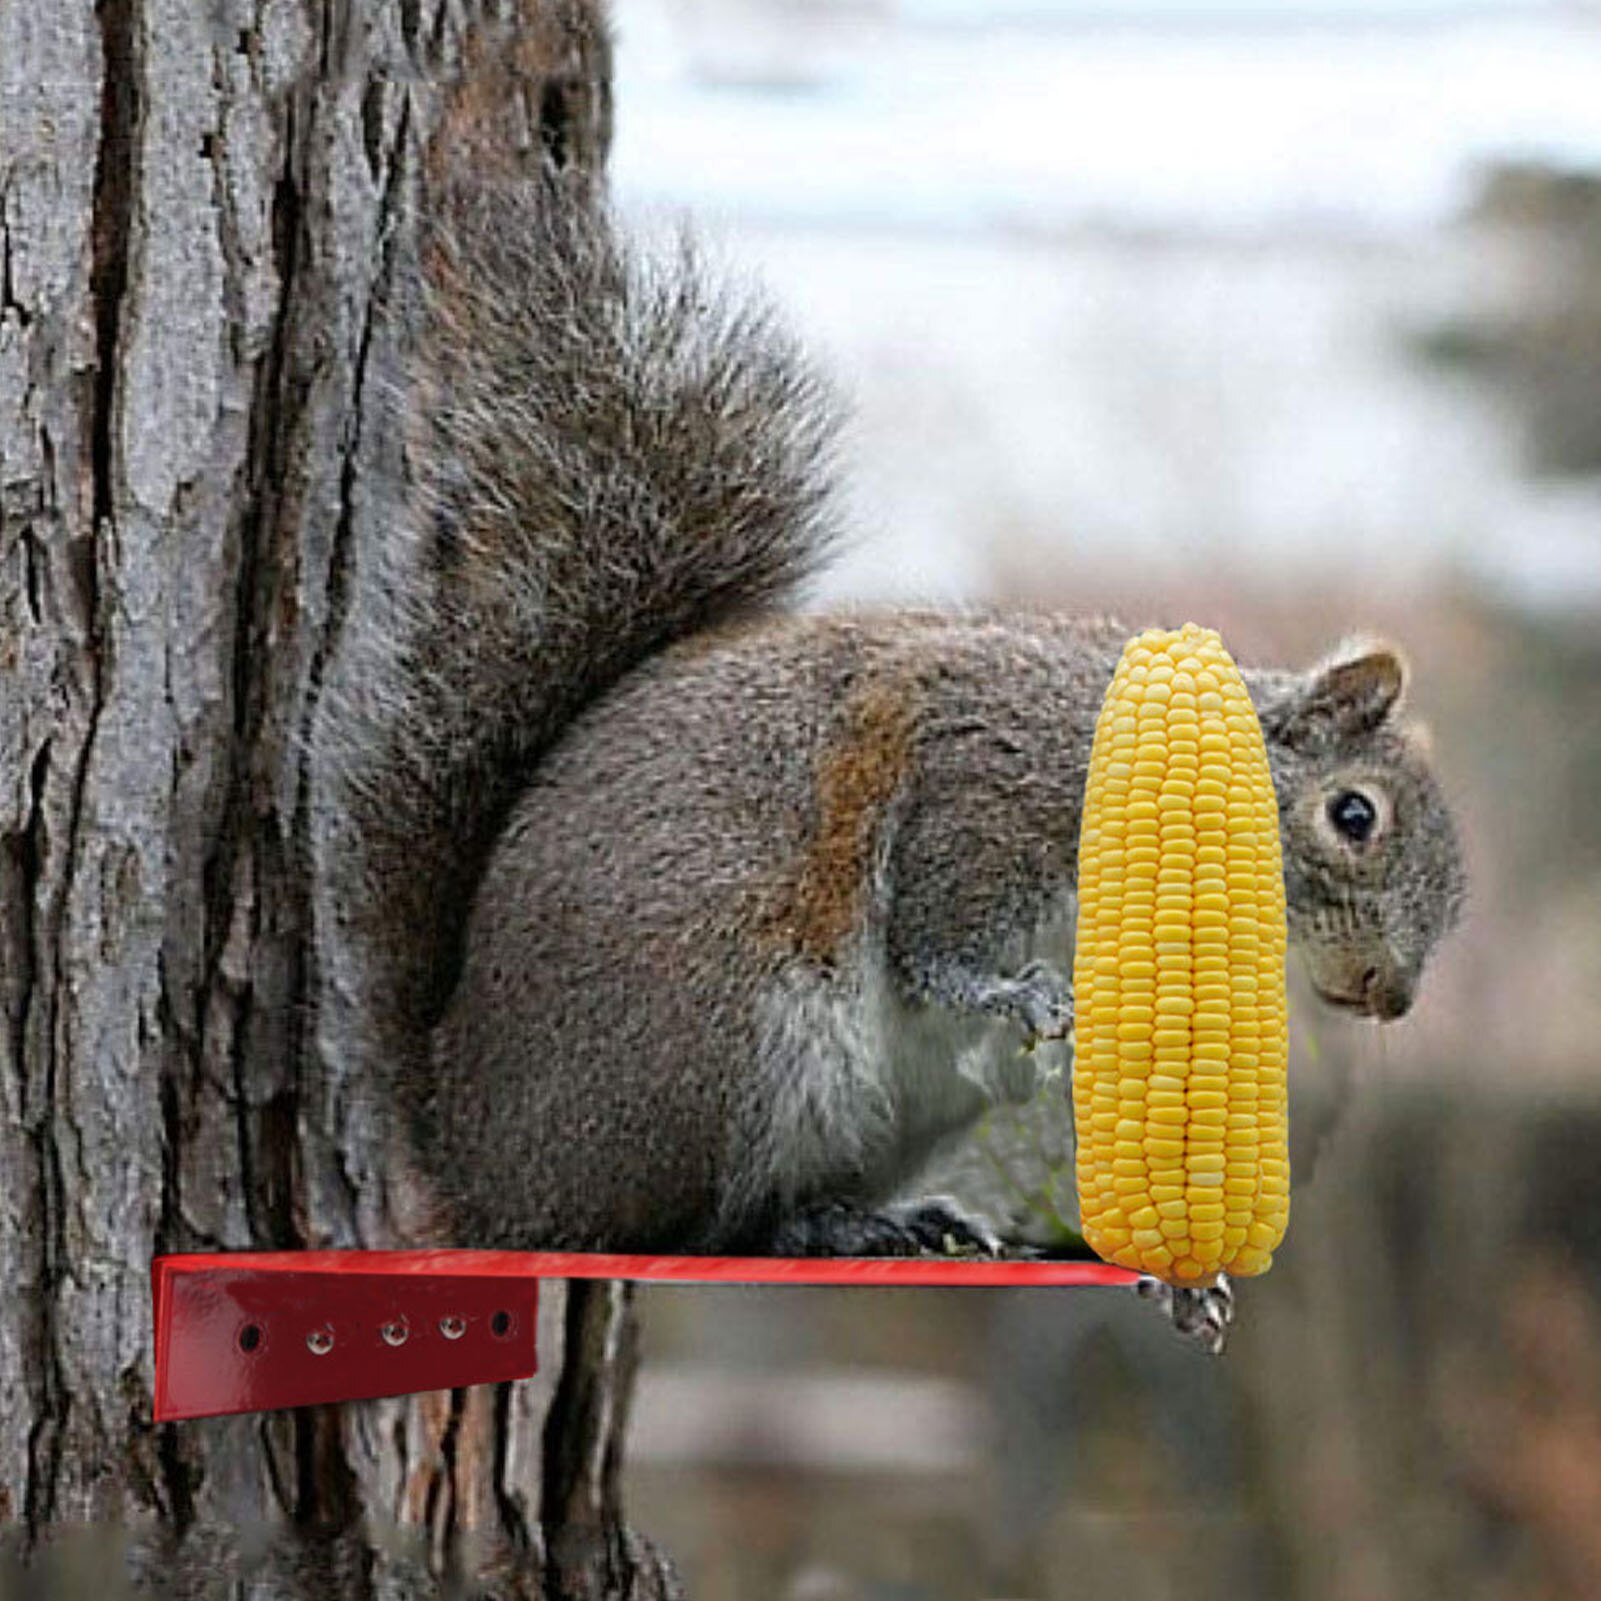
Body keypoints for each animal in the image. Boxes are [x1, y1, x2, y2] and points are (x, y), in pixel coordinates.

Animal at [313, 166, 1467, 1262]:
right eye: (1353, 816)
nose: (1386, 996)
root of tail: (476, 1158)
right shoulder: (986, 787)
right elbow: (934, 934)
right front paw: (1020, 997)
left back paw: (878, 1218)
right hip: (725, 1037)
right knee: (688, 1227)